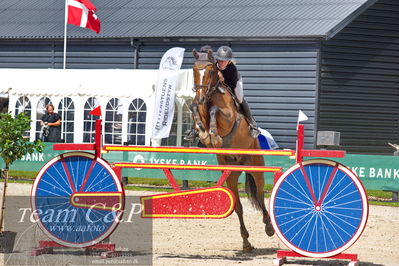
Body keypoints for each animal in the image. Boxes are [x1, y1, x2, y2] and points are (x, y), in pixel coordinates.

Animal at [191, 49, 276, 251]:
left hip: (256, 168)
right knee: (238, 207)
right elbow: (194, 109)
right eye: (194, 70)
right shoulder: (199, 108)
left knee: (260, 196)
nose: (200, 96)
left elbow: (215, 110)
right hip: (230, 175)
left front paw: (213, 135)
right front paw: (203, 134)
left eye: (210, 70)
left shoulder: (228, 116)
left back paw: (269, 227)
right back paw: (246, 242)